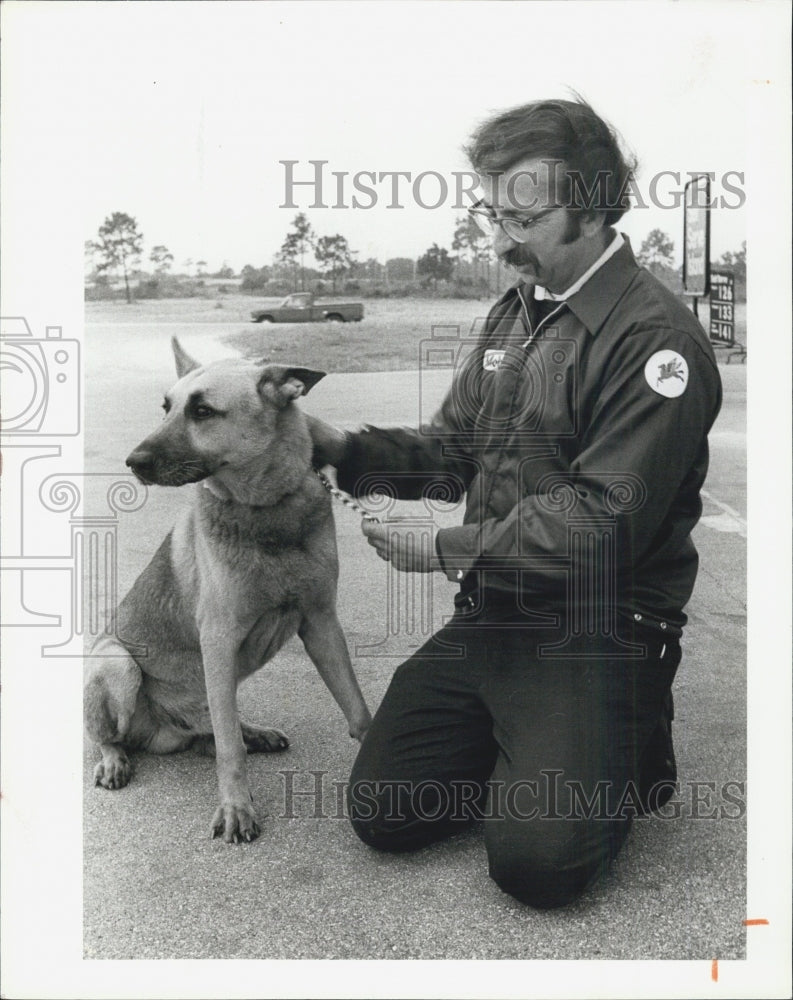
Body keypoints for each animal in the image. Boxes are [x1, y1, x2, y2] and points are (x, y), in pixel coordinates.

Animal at [85, 340, 370, 840]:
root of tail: (168, 732)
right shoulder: (218, 640)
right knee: (120, 736)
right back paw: (114, 760)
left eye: (202, 411)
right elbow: (228, 750)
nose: (133, 462)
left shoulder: (321, 624)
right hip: (117, 662)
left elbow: (355, 707)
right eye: (166, 408)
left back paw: (251, 731)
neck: (267, 511)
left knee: (216, 730)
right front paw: (237, 807)